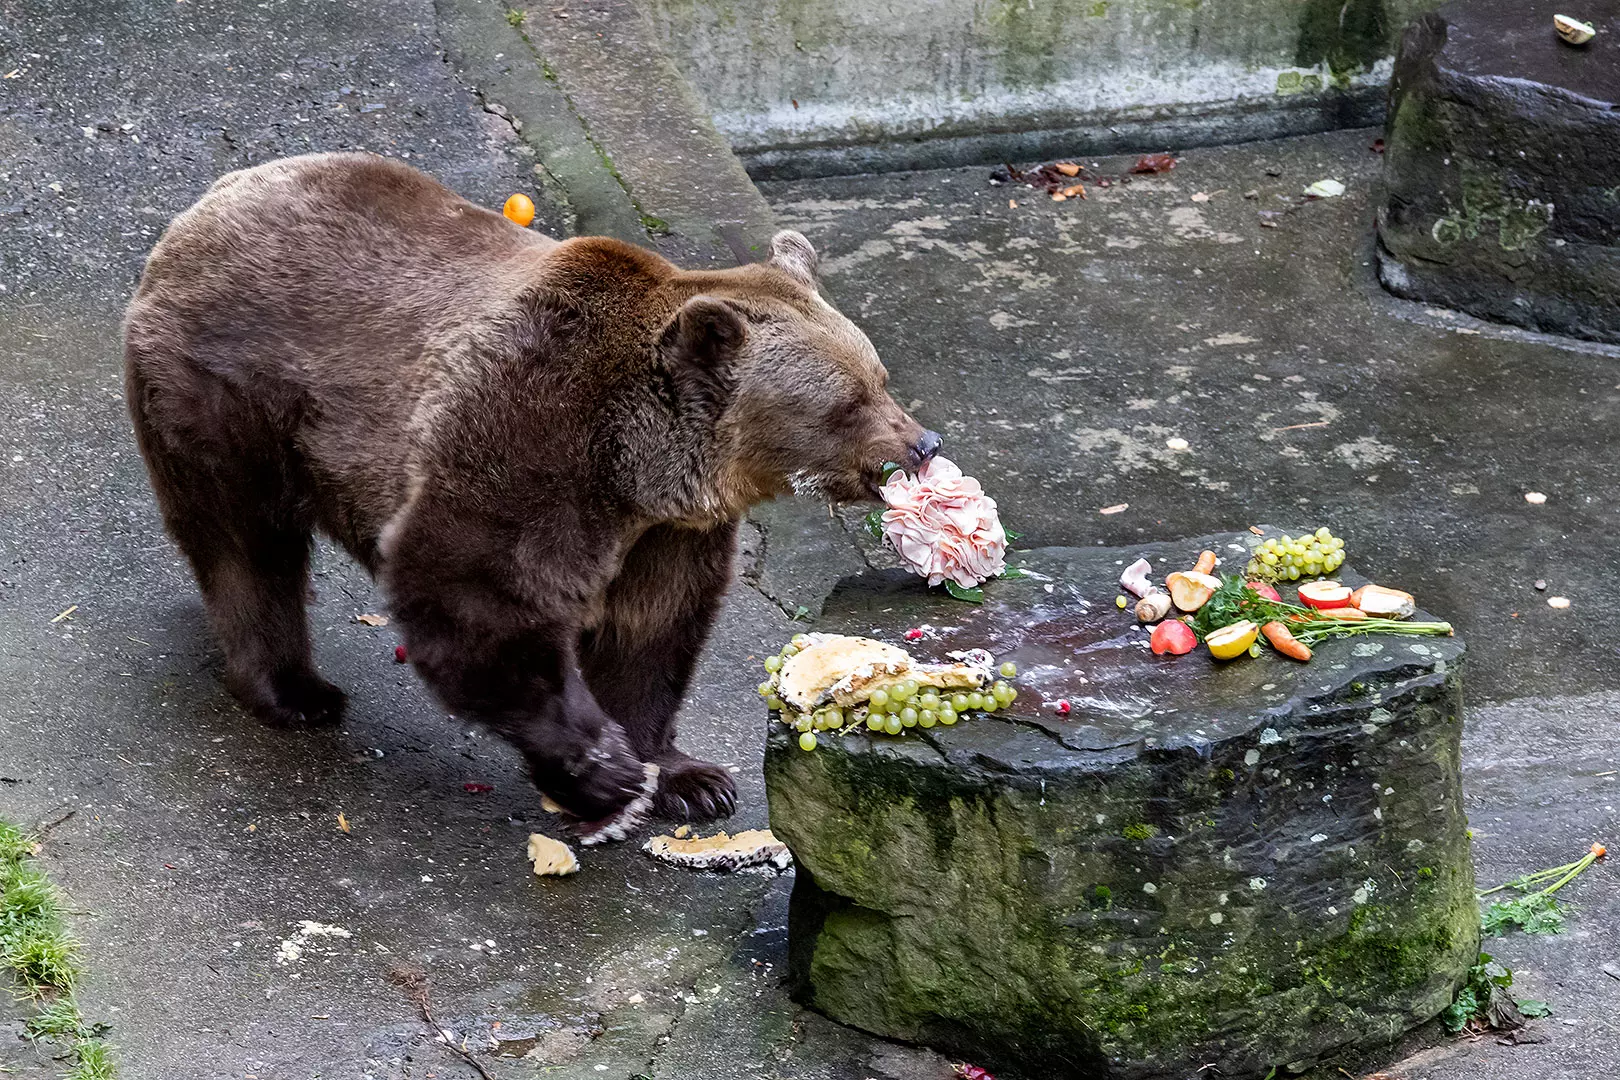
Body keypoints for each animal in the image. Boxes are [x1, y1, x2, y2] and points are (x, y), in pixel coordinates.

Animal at [123, 152, 939, 841]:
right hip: (230, 398)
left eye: (880, 377)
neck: (643, 467)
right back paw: (295, 691)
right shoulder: (530, 435)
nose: (922, 445)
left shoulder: (668, 533)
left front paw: (689, 778)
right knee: (248, 545)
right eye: (847, 405)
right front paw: (604, 769)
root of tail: (200, 209)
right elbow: (477, 593)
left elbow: (650, 632)